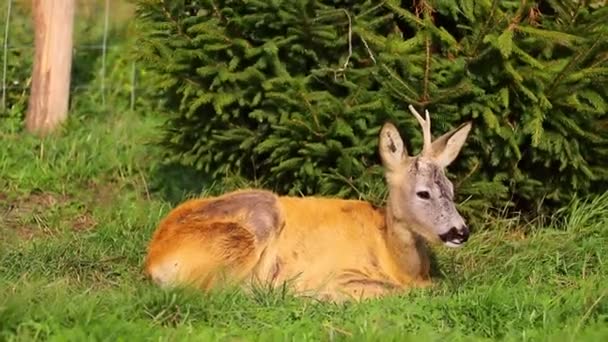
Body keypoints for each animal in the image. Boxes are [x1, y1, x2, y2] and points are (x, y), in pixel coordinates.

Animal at [145, 105, 472, 302]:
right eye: (423, 193)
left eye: (451, 189)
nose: (461, 231)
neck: (395, 259)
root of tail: (153, 259)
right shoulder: (342, 272)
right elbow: (399, 291)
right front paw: (322, 295)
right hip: (253, 221)